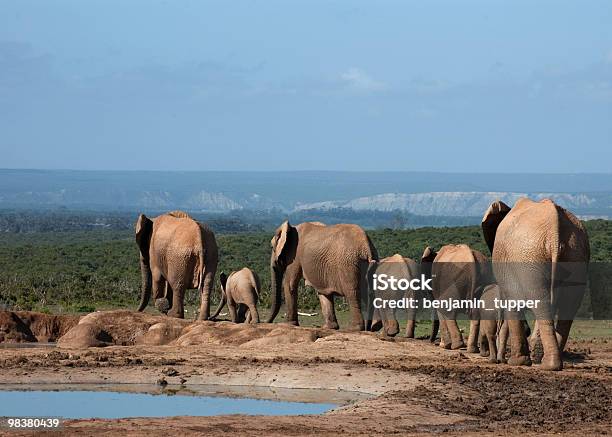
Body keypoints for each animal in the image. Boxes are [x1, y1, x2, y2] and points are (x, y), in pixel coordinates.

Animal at [480, 196, 592, 370]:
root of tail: (554, 231)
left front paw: (517, 362)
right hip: (575, 253)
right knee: (567, 304)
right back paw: (549, 361)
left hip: (531, 257)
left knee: (542, 301)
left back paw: (547, 364)